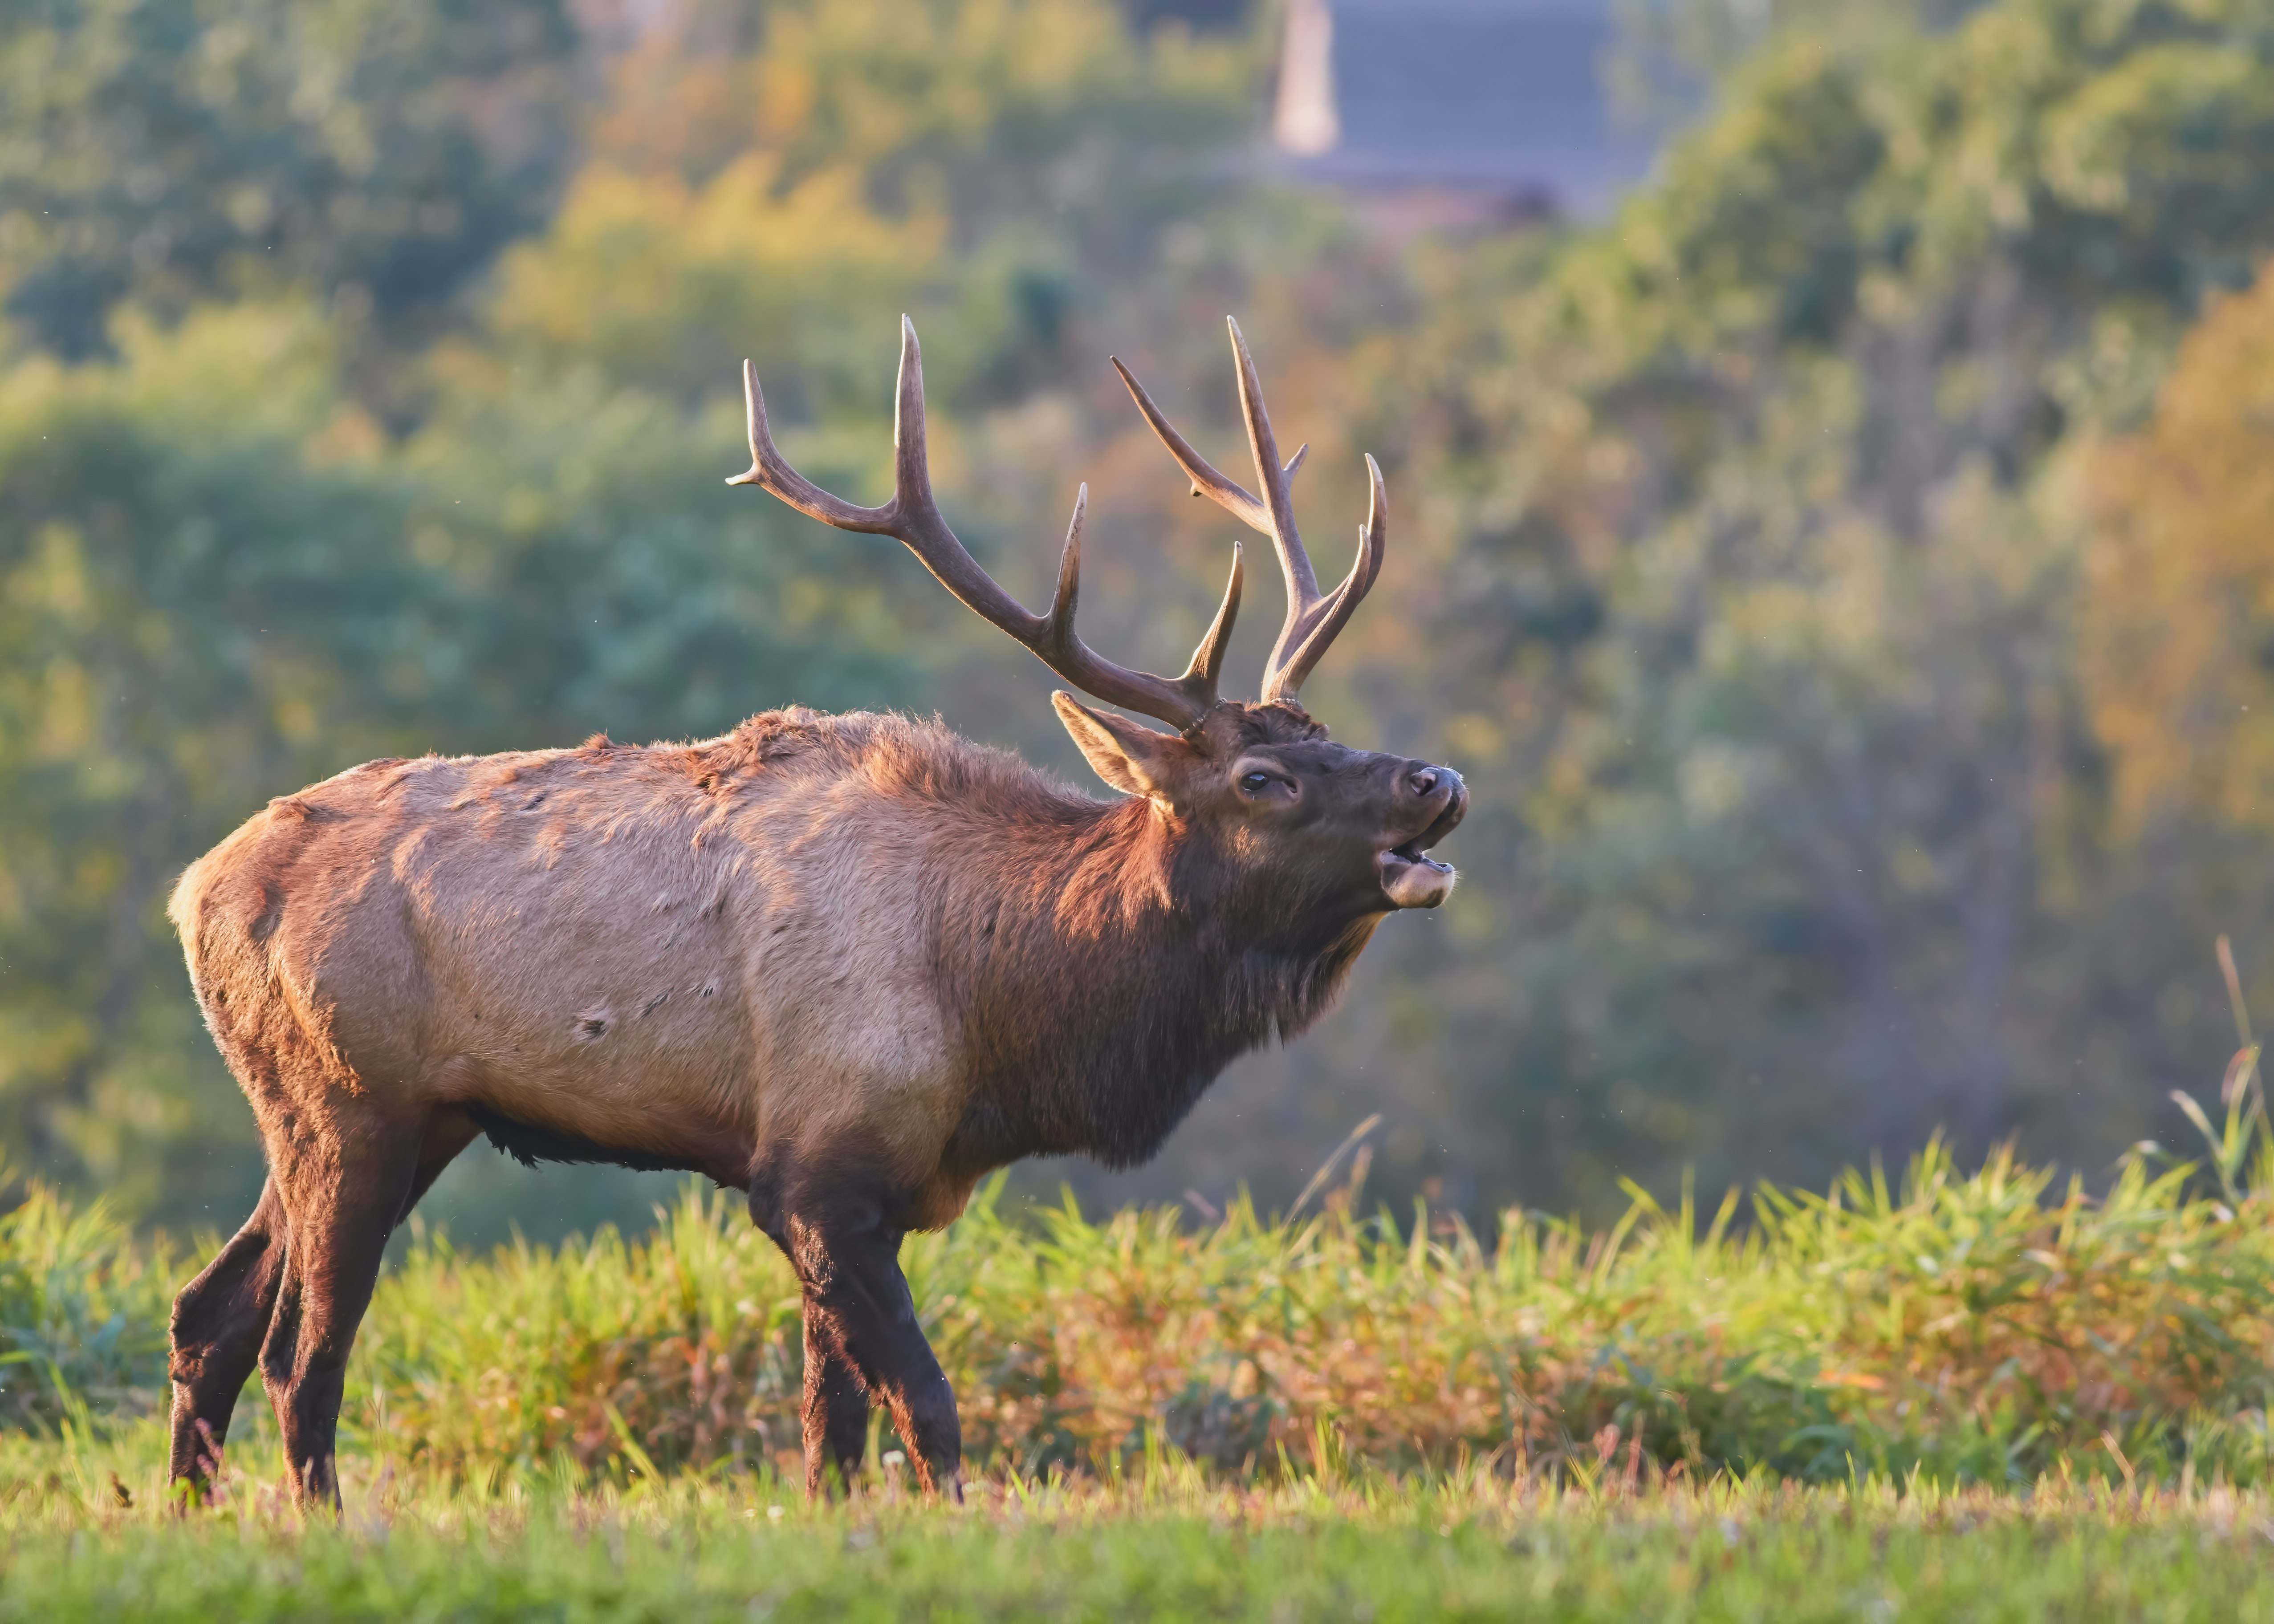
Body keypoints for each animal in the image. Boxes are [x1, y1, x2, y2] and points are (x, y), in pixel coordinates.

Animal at [165, 316, 1473, 1501]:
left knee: (206, 1312)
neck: (1001, 1019)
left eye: (1328, 735)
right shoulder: (811, 1172)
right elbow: (926, 1413)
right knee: (299, 1356)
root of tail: (195, 893)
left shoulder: (864, 1194)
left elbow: (828, 1434)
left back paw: (189, 1508)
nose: (1435, 781)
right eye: (1260, 779)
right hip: (350, 1099)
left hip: (383, 1113)